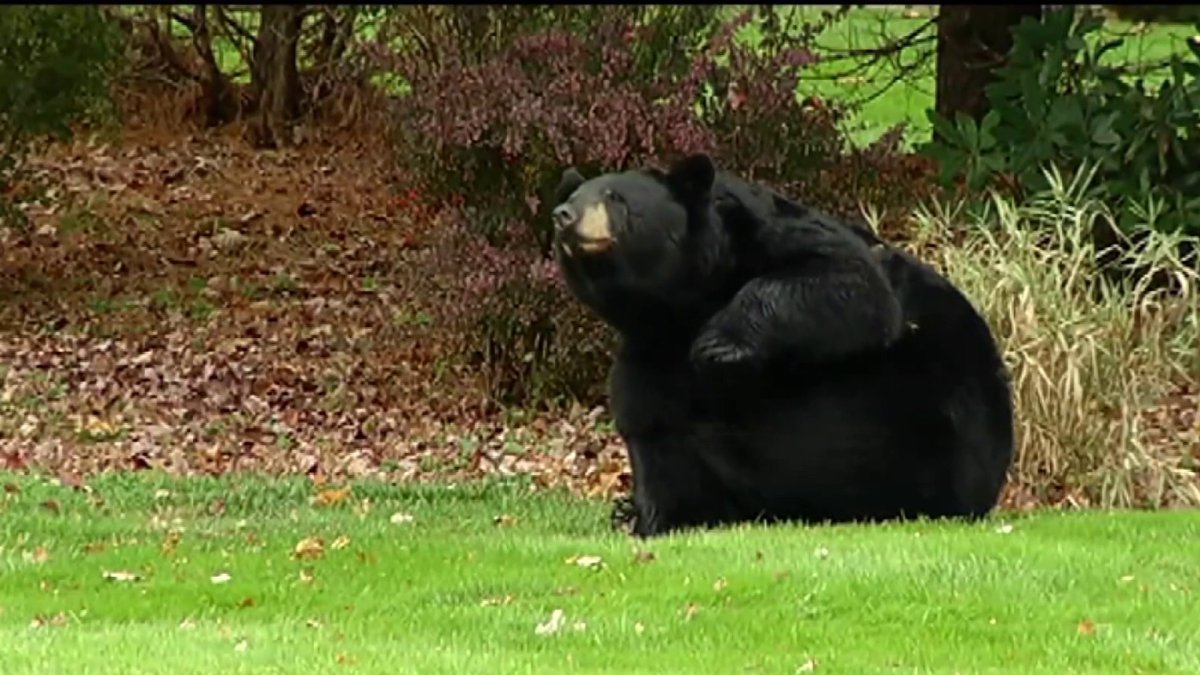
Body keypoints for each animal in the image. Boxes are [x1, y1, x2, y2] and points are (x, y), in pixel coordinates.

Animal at [550, 152, 1014, 538]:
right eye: (575, 194)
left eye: (614, 196)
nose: (563, 214)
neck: (681, 307)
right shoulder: (650, 356)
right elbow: (653, 430)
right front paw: (659, 518)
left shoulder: (773, 238)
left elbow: (850, 283)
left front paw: (718, 344)